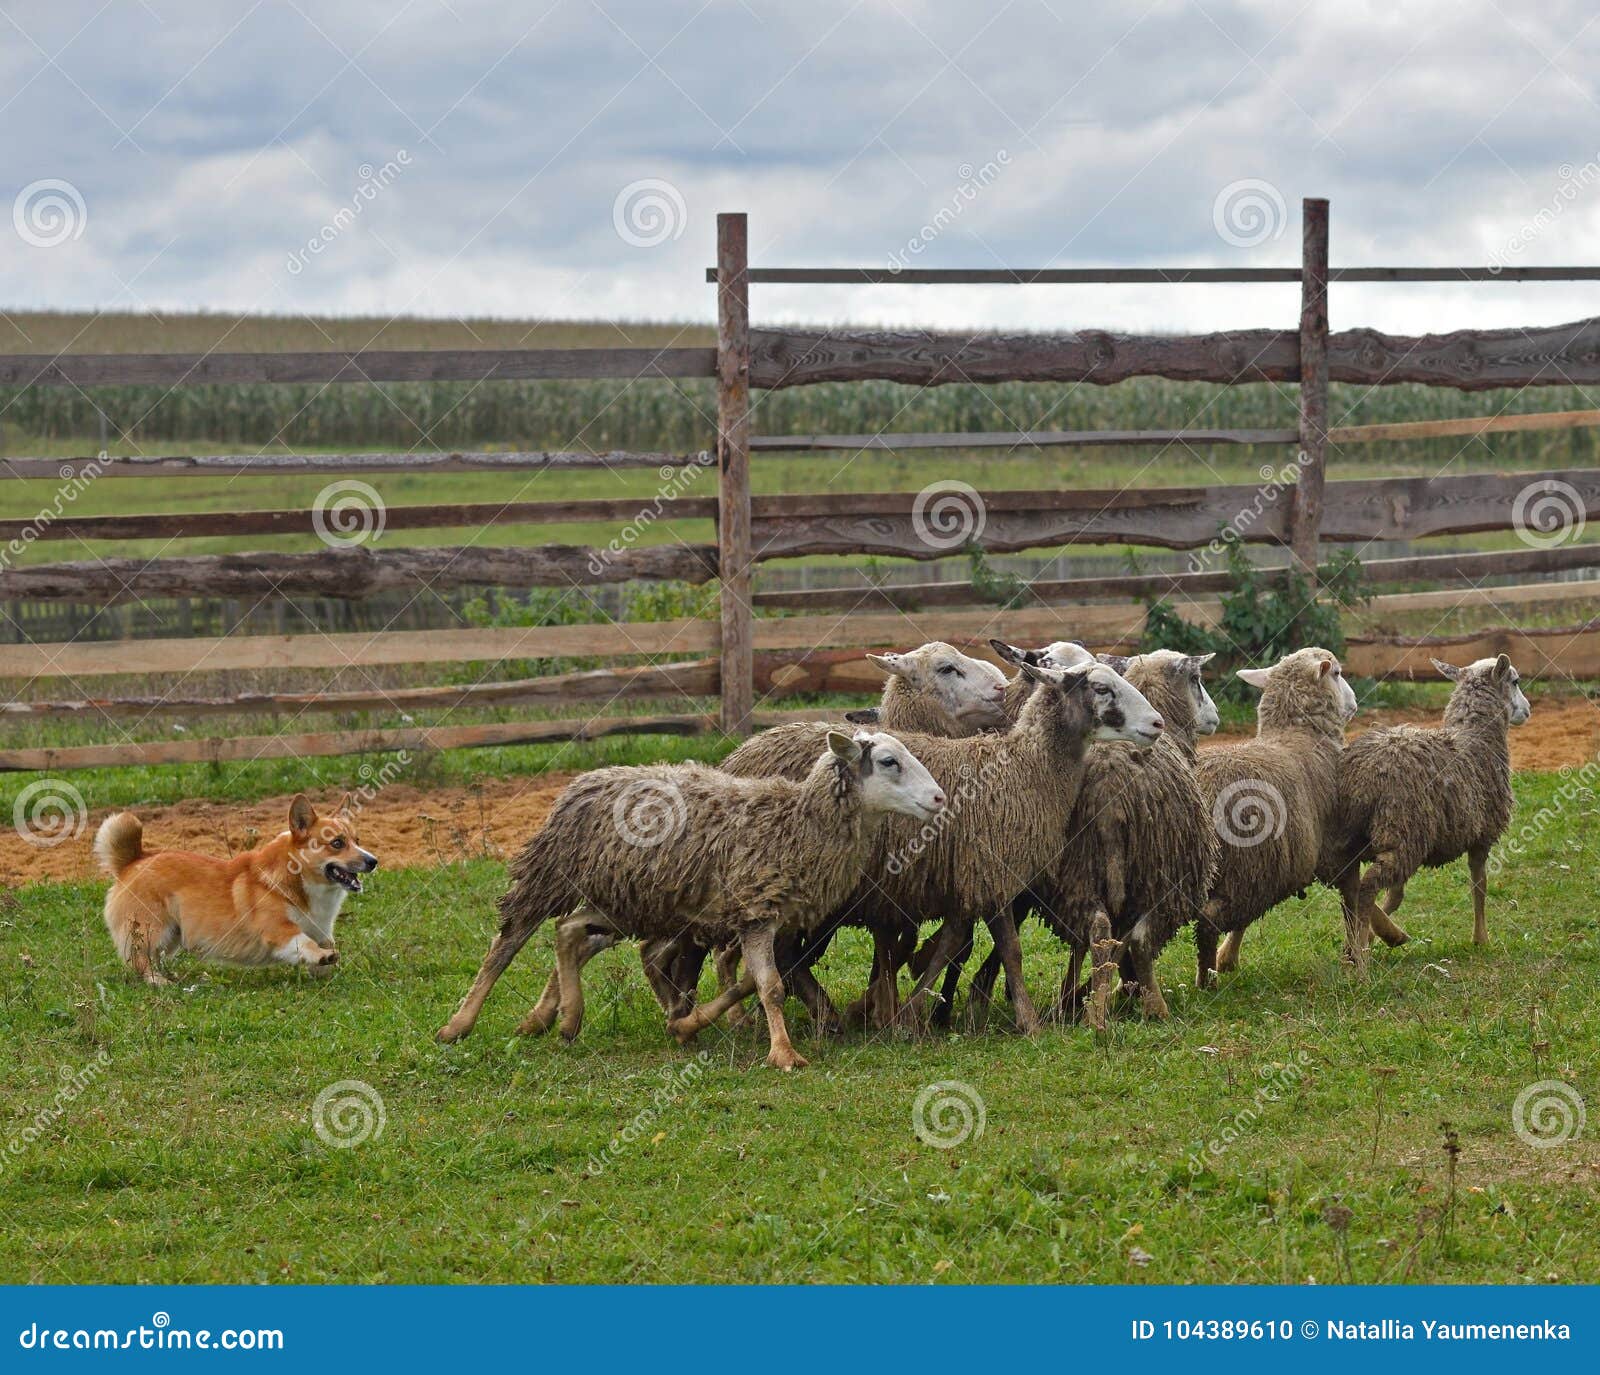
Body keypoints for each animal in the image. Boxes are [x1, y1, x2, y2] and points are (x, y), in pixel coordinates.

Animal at [95, 797, 379, 992]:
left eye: (357, 840)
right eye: (337, 843)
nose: (373, 861)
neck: (297, 879)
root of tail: (133, 861)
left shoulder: (321, 931)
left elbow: (322, 947)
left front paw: (325, 967)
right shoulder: (279, 931)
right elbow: (304, 942)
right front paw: (322, 957)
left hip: (172, 935)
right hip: (151, 929)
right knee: (140, 960)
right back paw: (158, 981)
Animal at [432, 726, 940, 1069]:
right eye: (890, 762)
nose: (938, 798)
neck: (798, 822)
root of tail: (585, 780)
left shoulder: (766, 917)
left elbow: (748, 982)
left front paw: (687, 1025)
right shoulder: (757, 911)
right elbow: (771, 986)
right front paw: (783, 1053)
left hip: (628, 898)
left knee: (569, 932)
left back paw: (563, 1019)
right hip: (552, 873)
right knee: (510, 941)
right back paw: (460, 1025)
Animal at [1196, 646, 1356, 986]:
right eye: (1337, 673)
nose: (1354, 703)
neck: (1297, 734)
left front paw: (1228, 958)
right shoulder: (1333, 848)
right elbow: (1354, 901)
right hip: (1241, 870)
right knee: (1207, 921)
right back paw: (1205, 981)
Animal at [1318, 653, 1529, 966]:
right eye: (1515, 681)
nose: (1527, 710)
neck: (1476, 737)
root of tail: (1363, 774)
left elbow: (1396, 896)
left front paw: (1372, 935)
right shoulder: (1483, 835)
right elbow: (1479, 885)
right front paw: (1481, 939)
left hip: (1358, 835)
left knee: (1347, 885)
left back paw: (1365, 941)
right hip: (1402, 834)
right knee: (1366, 888)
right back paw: (1363, 951)